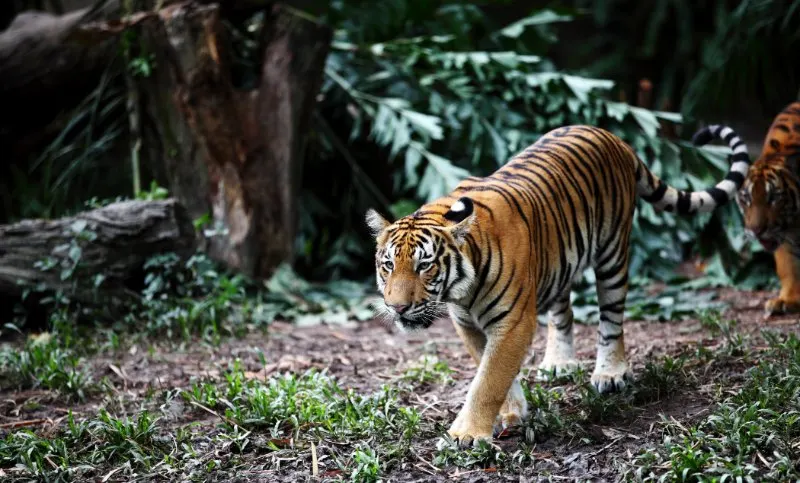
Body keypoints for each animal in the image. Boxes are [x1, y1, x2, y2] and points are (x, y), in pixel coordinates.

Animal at [368, 124, 752, 446]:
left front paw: (467, 434)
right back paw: (559, 362)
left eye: (424, 266)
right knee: (563, 311)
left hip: (613, 253)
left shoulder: (513, 323)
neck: (461, 290)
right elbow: (490, 370)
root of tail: (612, 137)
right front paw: (513, 412)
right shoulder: (468, 324)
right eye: (388, 266)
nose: (397, 307)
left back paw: (610, 373)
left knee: (612, 319)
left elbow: (489, 379)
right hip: (559, 262)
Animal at [692, 100, 800, 316]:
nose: (757, 231)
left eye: (774, 197)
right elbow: (789, 265)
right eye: (746, 198)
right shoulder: (783, 236)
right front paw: (788, 300)